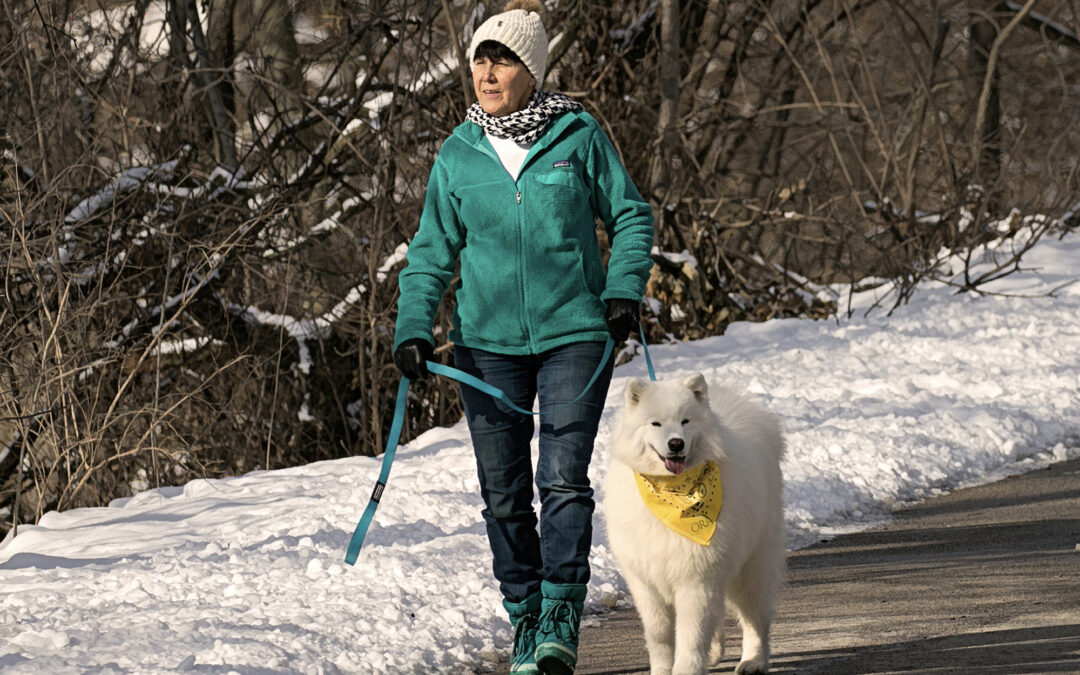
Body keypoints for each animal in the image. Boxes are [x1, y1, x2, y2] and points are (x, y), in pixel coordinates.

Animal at [600, 373, 786, 673]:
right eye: (656, 423)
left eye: (686, 421)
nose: (676, 443)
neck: (672, 492)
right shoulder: (646, 583)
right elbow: (660, 635)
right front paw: (663, 669)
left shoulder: (696, 577)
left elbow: (691, 636)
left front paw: (687, 668)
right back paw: (715, 653)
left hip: (752, 567)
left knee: (755, 619)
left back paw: (753, 661)